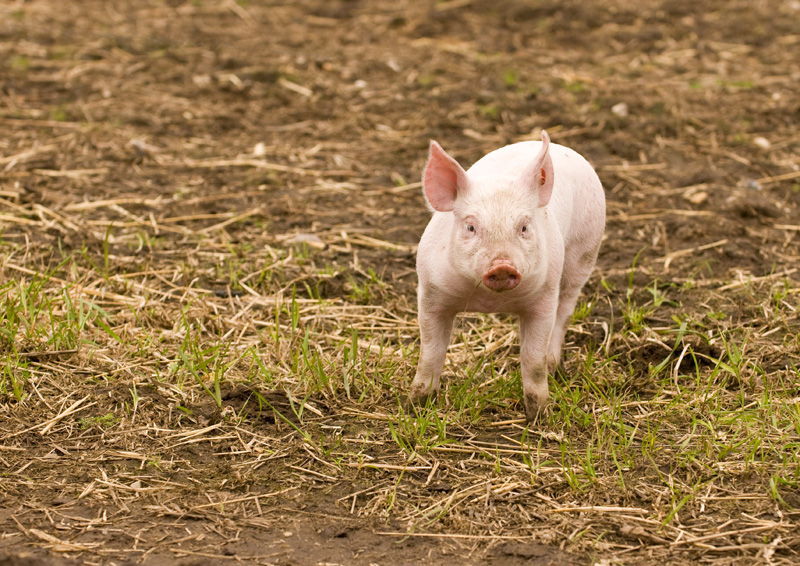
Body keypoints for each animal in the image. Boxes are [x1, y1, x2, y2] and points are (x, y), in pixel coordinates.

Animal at [412, 132, 608, 422]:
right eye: (470, 226)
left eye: (524, 227)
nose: (502, 265)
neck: (489, 302)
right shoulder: (430, 292)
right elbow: (430, 353)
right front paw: (414, 407)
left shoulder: (543, 296)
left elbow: (533, 360)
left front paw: (538, 417)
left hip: (584, 253)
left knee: (565, 311)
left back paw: (555, 368)